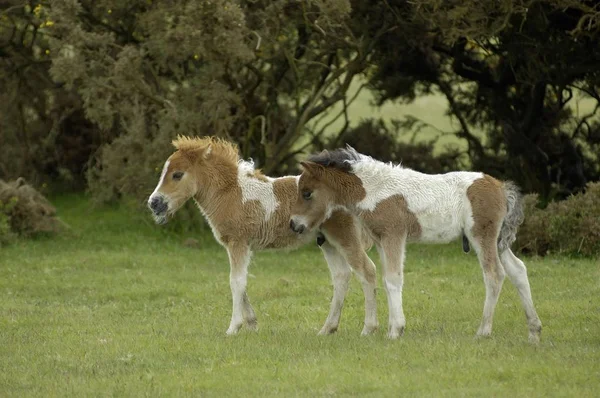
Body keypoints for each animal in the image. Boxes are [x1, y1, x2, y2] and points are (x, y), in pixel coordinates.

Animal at [147, 136, 378, 336]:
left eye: (177, 174)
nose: (154, 203)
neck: (231, 194)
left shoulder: (238, 243)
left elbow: (236, 281)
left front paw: (233, 328)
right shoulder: (238, 246)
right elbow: (241, 281)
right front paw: (251, 324)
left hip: (345, 236)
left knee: (367, 270)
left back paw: (368, 328)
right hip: (328, 241)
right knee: (341, 276)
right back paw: (327, 329)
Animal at [290, 146, 544, 342]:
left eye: (307, 193)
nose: (294, 224)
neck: (375, 190)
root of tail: (500, 187)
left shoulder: (394, 235)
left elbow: (393, 279)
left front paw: (395, 331)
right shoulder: (382, 240)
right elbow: (386, 279)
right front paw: (392, 327)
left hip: (482, 235)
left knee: (494, 275)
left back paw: (483, 331)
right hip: (498, 240)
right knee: (518, 270)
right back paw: (534, 331)